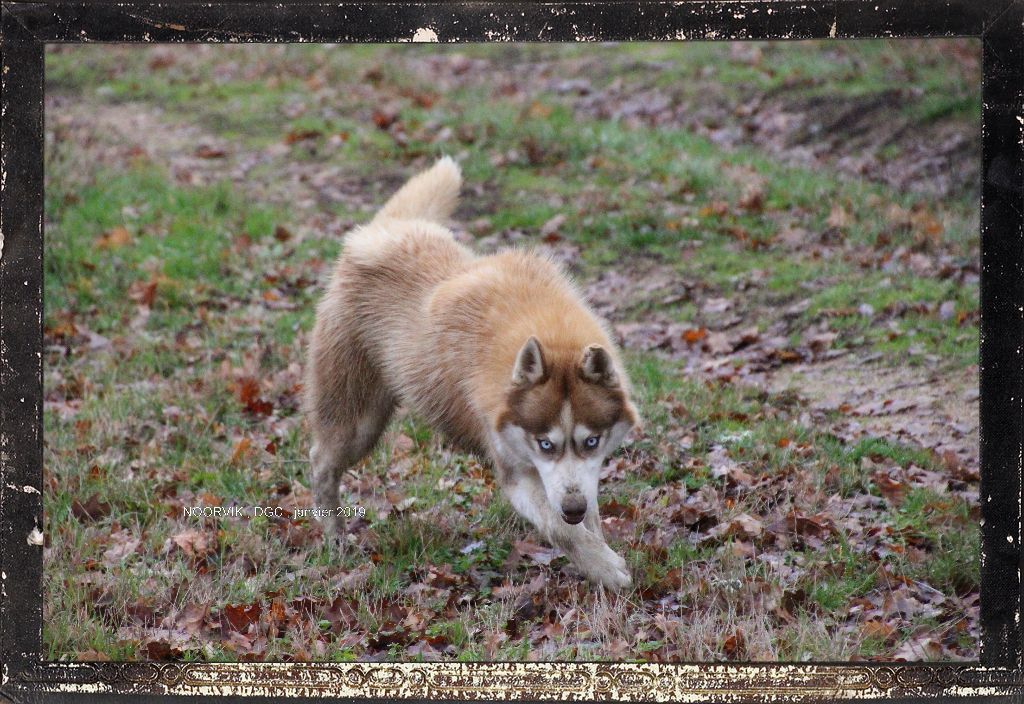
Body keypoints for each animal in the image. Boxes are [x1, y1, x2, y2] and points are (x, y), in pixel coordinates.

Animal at [303, 158, 638, 589]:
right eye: (545, 444)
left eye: (591, 441)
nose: (573, 508)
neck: (544, 330)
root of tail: (382, 231)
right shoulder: (515, 472)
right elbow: (559, 528)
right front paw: (606, 567)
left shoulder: (580, 476)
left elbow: (586, 515)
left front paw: (595, 556)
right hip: (358, 424)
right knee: (321, 464)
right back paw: (334, 539)